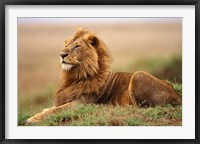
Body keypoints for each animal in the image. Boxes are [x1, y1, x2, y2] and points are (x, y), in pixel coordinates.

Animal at [26, 27, 181, 124]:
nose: (61, 55)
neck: (75, 76)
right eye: (66, 45)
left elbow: (55, 111)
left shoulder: (81, 103)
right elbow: (49, 109)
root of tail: (178, 96)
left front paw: (32, 119)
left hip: (138, 75)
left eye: (77, 46)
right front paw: (36, 114)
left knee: (140, 107)